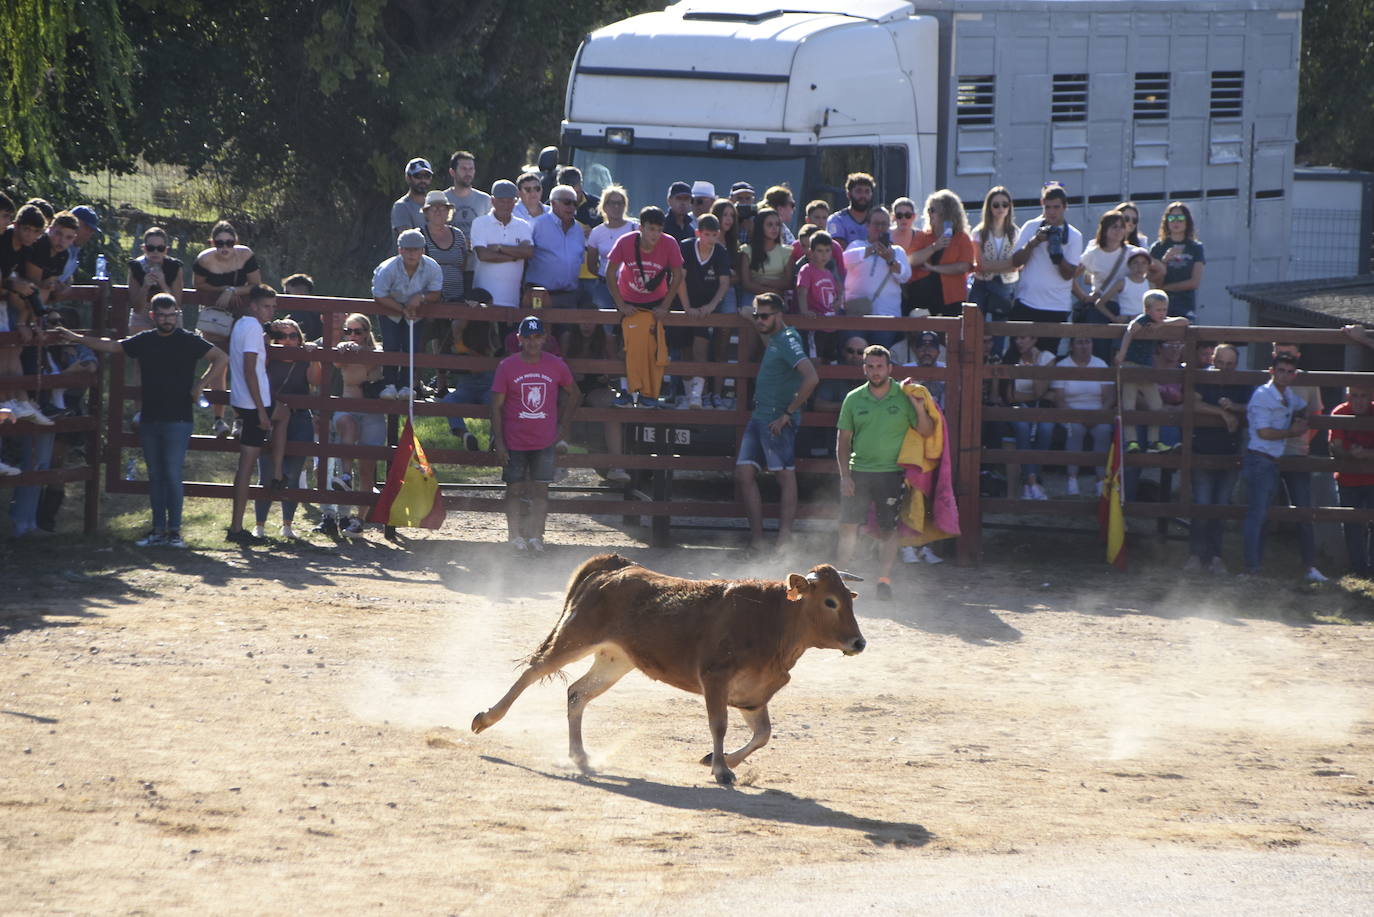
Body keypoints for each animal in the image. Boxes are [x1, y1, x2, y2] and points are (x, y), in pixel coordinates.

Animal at [469, 555, 857, 786]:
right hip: (574, 637)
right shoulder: (715, 679)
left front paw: (715, 760)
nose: (859, 642)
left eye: (850, 600)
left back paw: (580, 756)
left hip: (615, 660)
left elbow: (762, 735)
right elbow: (719, 724)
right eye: (830, 602)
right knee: (533, 672)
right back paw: (486, 718)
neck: (774, 620)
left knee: (577, 692)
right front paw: (721, 769)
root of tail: (614, 567)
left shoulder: (753, 696)